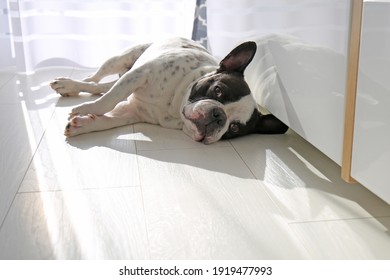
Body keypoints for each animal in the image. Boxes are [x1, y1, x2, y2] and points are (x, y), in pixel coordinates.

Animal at [50, 37, 288, 142]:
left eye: (234, 128)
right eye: (218, 90)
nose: (218, 116)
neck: (175, 105)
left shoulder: (133, 111)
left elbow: (109, 120)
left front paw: (83, 125)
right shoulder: (141, 74)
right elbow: (109, 100)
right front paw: (85, 110)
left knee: (101, 87)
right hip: (121, 59)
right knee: (96, 79)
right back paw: (69, 84)